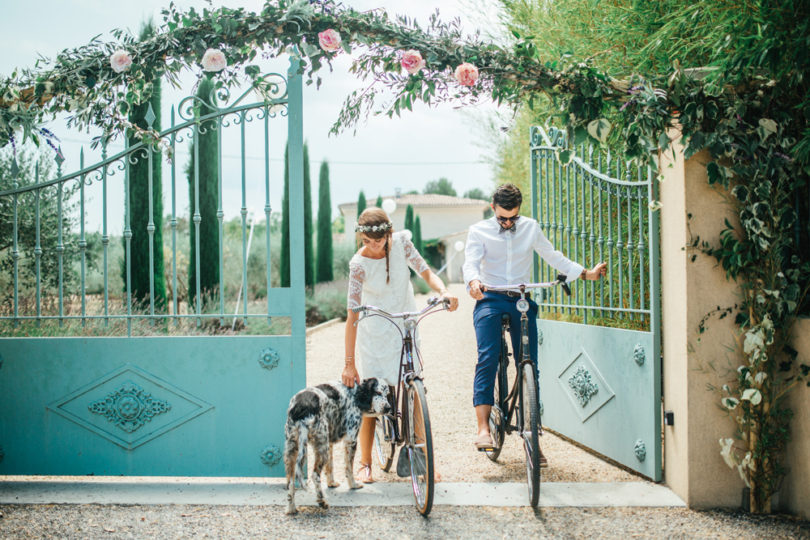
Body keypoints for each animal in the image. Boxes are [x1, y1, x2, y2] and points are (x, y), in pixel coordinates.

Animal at [282, 378, 390, 512]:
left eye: (387, 394)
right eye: (378, 392)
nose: (388, 408)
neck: (356, 393)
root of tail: (301, 408)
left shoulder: (330, 443)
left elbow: (330, 467)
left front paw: (331, 483)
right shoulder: (350, 440)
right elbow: (349, 469)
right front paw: (353, 485)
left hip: (294, 448)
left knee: (291, 480)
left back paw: (291, 509)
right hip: (320, 447)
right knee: (315, 475)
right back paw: (322, 501)